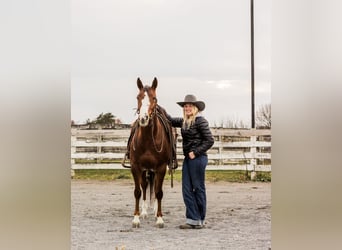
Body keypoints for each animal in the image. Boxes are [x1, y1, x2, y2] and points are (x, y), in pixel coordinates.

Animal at [126, 77, 174, 228]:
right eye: (138, 97)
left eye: (154, 98)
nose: (143, 118)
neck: (147, 140)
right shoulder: (136, 167)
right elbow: (138, 192)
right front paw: (136, 218)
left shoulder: (161, 168)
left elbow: (158, 192)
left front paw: (159, 219)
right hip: (145, 170)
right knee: (145, 186)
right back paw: (145, 211)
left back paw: (153, 211)